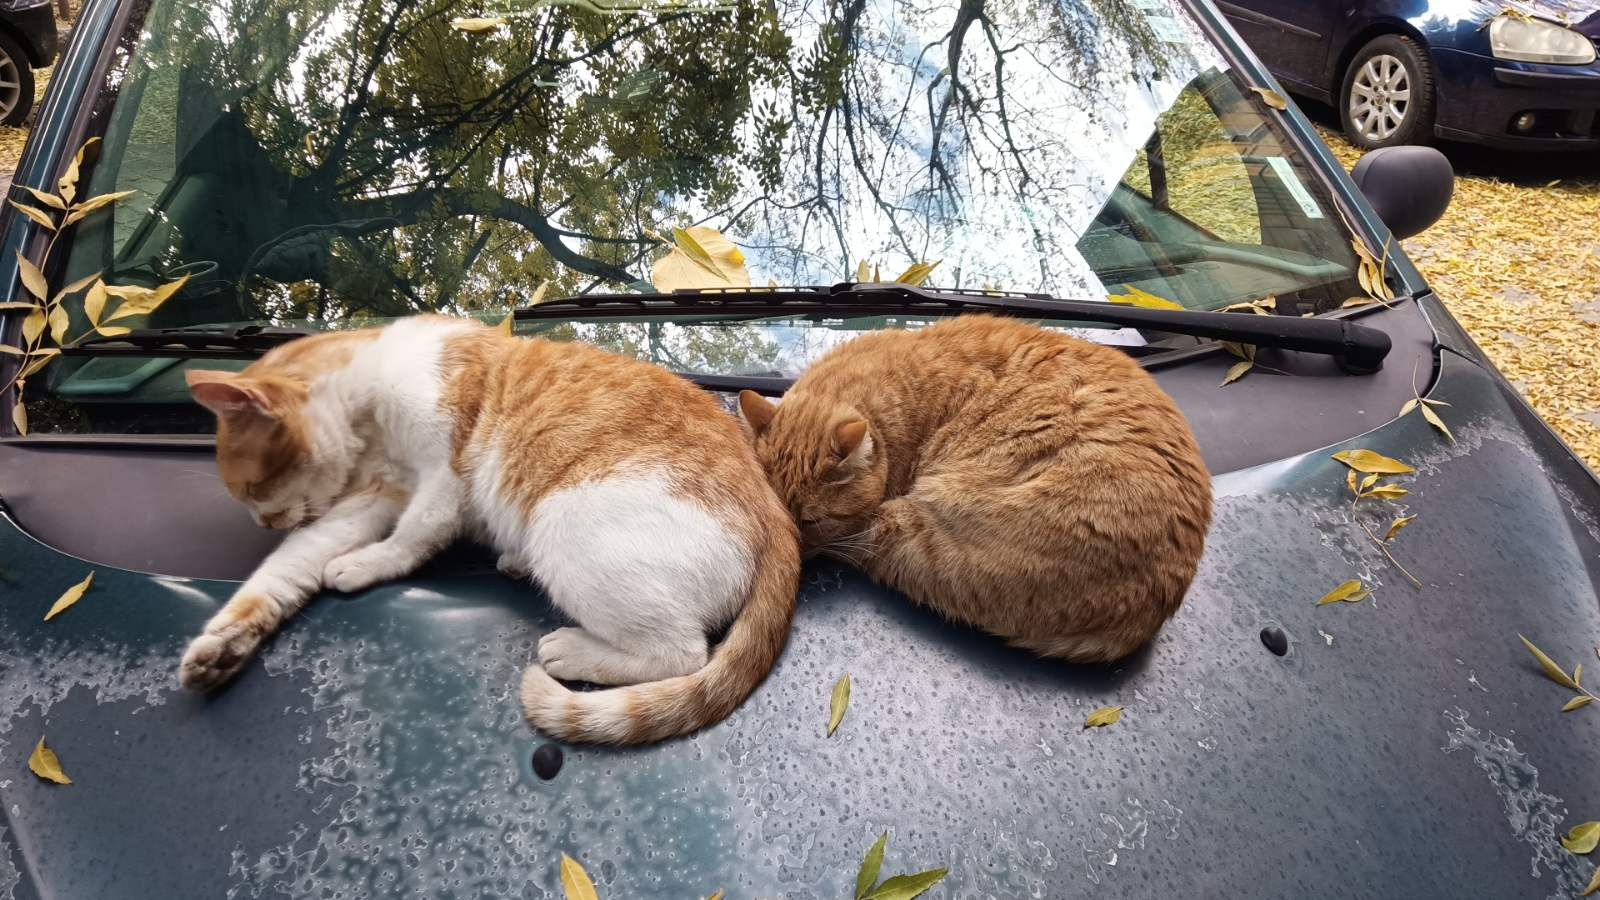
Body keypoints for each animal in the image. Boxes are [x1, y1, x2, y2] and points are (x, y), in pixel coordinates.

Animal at [180, 315, 799, 744]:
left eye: (254, 489)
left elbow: (412, 535)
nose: (263, 519)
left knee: (682, 654)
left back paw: (571, 648)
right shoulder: (376, 496)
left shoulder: (442, 476)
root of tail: (776, 512)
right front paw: (224, 641)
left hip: (565, 522)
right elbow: (287, 566)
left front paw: (365, 563)